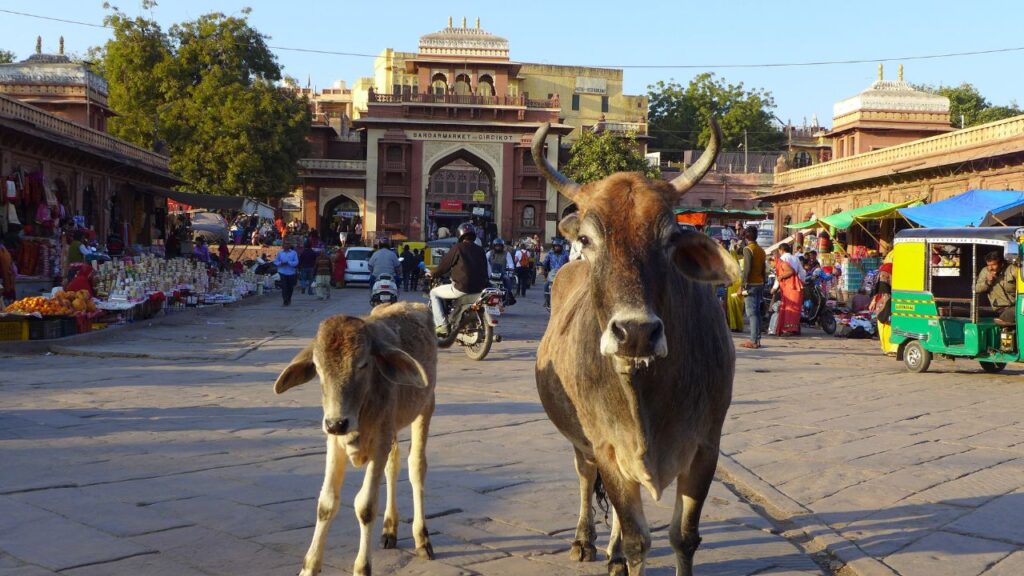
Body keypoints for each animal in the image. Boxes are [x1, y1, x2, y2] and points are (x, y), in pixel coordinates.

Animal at [273, 302, 437, 576]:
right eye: (318, 368)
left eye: (363, 364)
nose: (337, 423)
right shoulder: (335, 444)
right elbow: (326, 503)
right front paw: (309, 566)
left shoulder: (380, 441)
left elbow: (366, 506)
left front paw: (362, 567)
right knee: (393, 466)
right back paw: (389, 529)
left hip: (426, 406)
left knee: (416, 467)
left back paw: (422, 539)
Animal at [532, 119, 738, 576]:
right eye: (587, 238)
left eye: (669, 238)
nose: (636, 332)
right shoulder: (607, 447)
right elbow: (637, 540)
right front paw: (617, 551)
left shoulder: (706, 447)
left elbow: (683, 537)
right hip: (582, 442)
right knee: (585, 478)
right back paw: (584, 541)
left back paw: (610, 554)